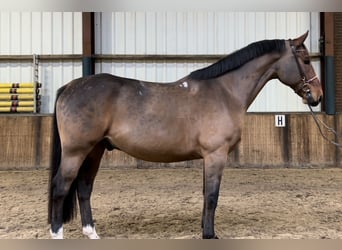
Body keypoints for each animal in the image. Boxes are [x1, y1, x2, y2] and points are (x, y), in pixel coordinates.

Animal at [48, 31, 324, 238]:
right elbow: (212, 196)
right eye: (306, 60)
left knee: (84, 187)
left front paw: (204, 229)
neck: (224, 92)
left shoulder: (209, 157)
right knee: (61, 186)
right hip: (76, 151)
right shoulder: (216, 155)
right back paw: (57, 233)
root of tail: (68, 87)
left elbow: (205, 194)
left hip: (94, 151)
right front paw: (210, 235)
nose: (317, 96)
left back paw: (92, 233)